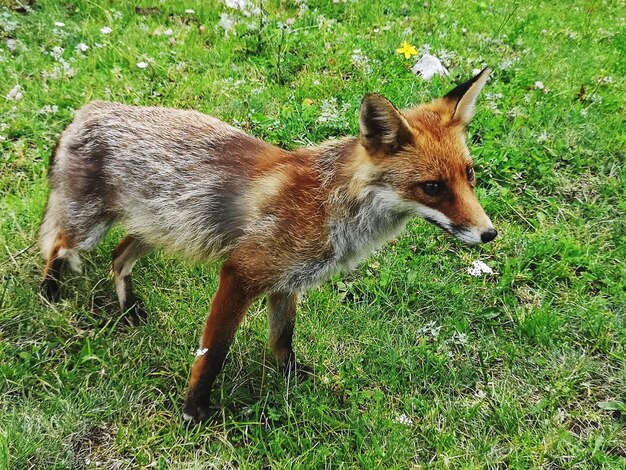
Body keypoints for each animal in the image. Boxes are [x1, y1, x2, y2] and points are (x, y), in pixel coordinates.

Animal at [39, 66, 498, 422]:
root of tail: (90, 108)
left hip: (159, 231)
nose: (489, 233)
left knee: (119, 257)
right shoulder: (241, 274)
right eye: (433, 187)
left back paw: (128, 307)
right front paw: (194, 410)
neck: (329, 205)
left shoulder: (286, 283)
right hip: (88, 227)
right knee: (56, 246)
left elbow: (283, 339)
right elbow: (213, 351)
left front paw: (293, 378)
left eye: (470, 175)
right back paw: (49, 292)